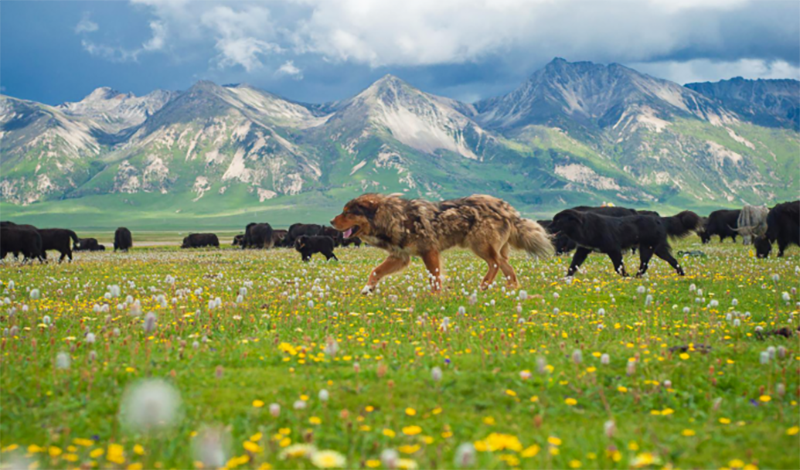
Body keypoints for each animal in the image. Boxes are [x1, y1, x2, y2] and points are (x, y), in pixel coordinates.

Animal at [330, 193, 552, 292]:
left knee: (495, 264)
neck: (394, 217)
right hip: (491, 247)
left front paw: (435, 296)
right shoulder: (400, 256)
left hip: (480, 245)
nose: (331, 221)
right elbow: (375, 271)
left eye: (348, 212)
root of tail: (507, 208)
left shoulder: (429, 251)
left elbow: (435, 277)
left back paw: (484, 284)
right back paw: (511, 289)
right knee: (508, 267)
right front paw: (368, 289)